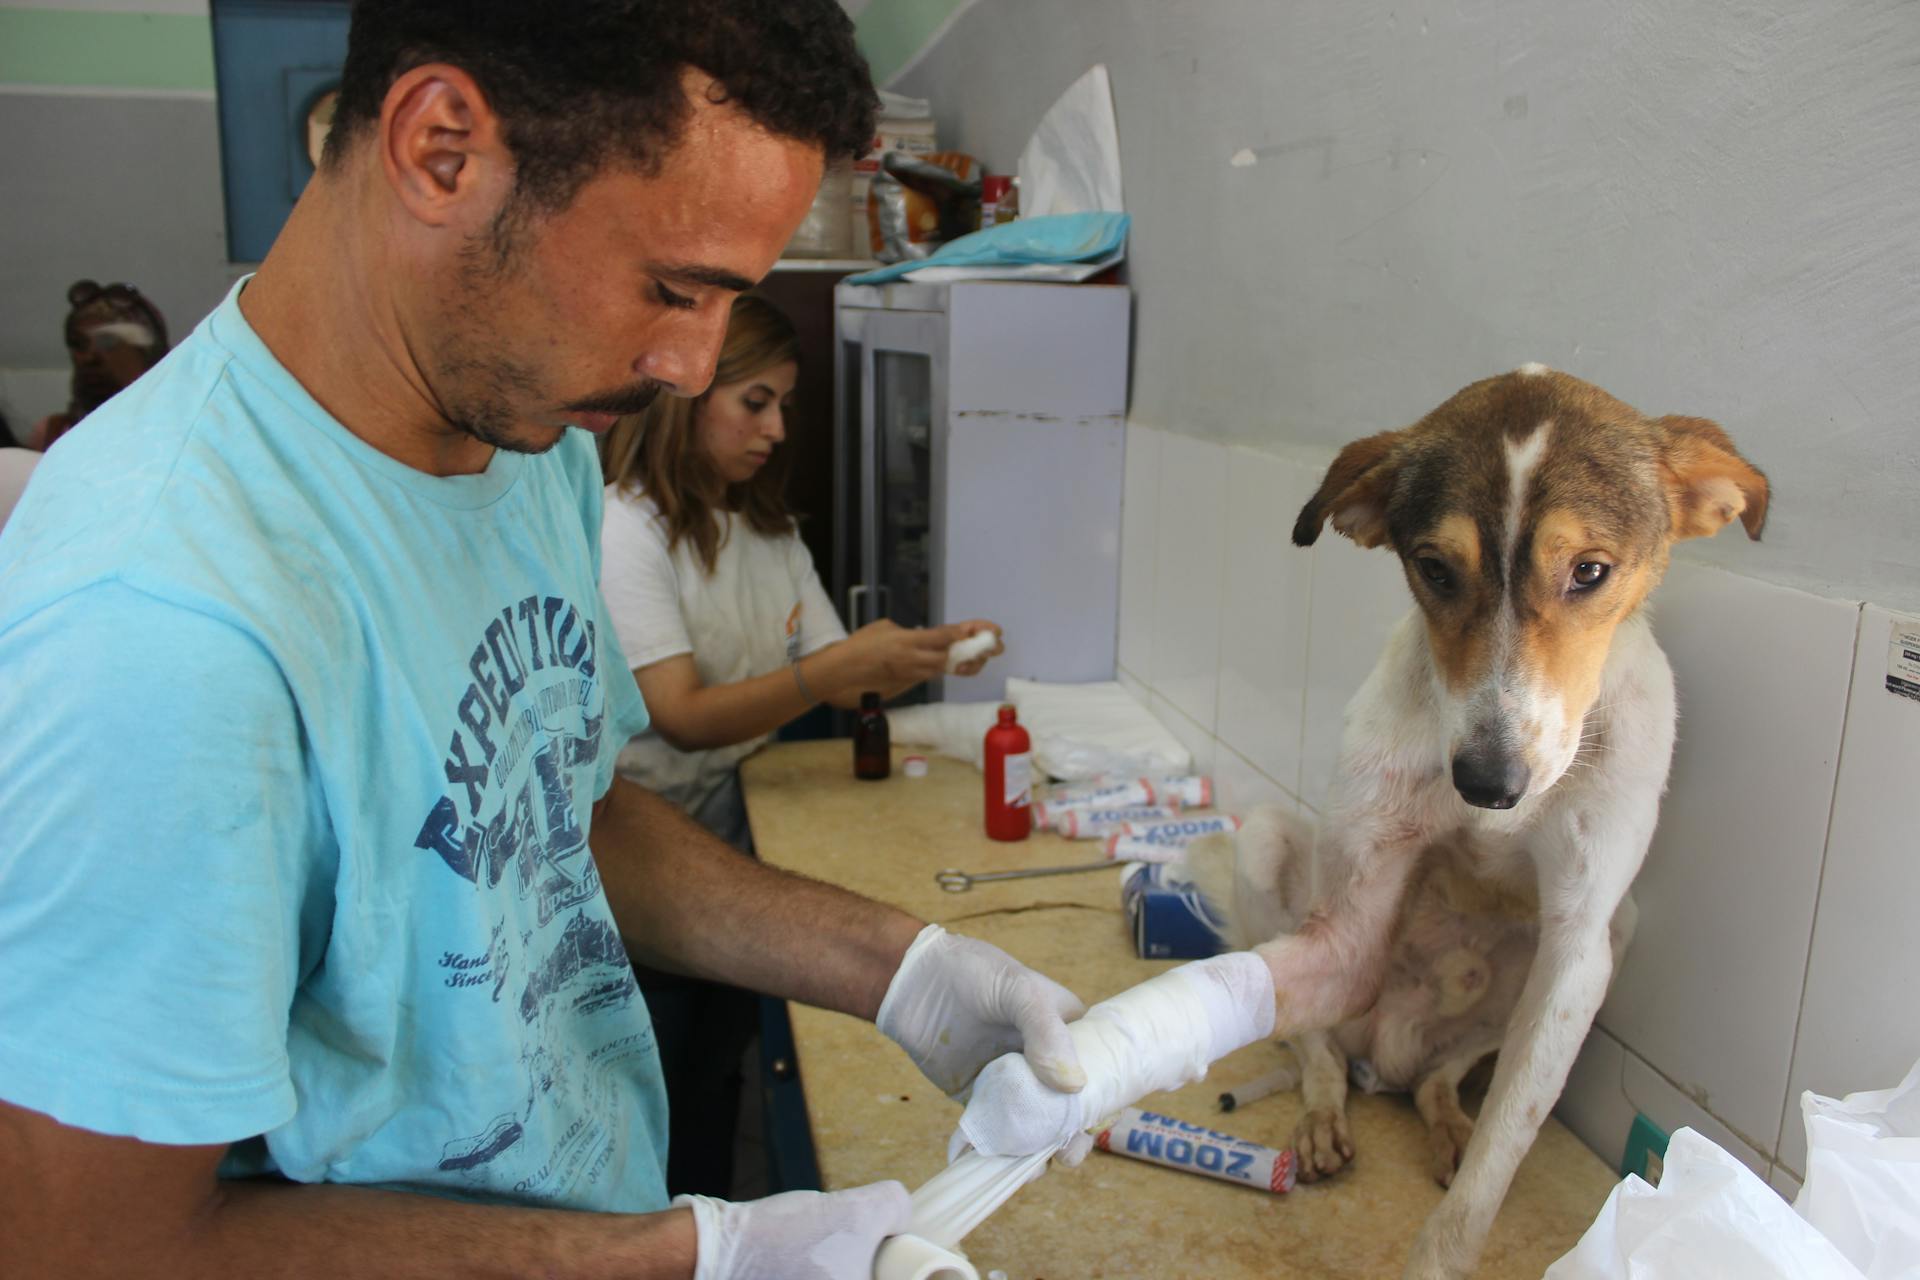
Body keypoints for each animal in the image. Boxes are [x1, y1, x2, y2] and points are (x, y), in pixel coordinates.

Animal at [1190, 364, 1758, 1280]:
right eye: (1434, 568)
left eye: (1590, 571)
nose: (1489, 784)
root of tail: (1386, 1051)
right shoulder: (1358, 894)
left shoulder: (1578, 947)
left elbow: (1493, 1168)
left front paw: (1451, 1229)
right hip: (1271, 841)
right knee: (1317, 1050)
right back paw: (1322, 1117)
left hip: (1614, 934)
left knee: (1443, 1078)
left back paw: (1447, 1121)